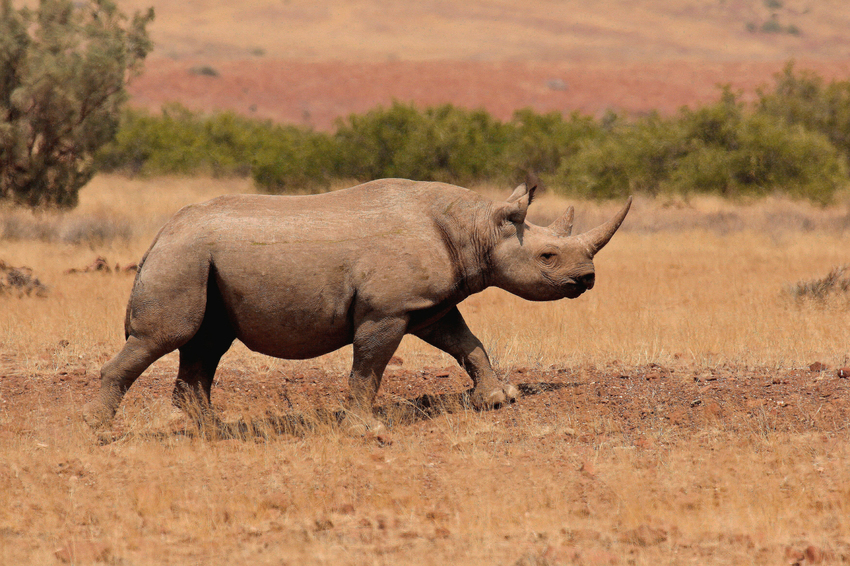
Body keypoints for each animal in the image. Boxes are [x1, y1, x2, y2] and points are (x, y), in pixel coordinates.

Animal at [83, 177, 631, 432]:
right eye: (547, 256)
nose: (588, 279)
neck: (476, 229)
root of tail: (160, 233)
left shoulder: (428, 304)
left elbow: (466, 343)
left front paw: (498, 400)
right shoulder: (386, 309)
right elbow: (369, 366)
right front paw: (367, 427)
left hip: (199, 258)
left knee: (207, 342)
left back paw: (210, 429)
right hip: (183, 256)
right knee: (166, 336)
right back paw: (100, 428)